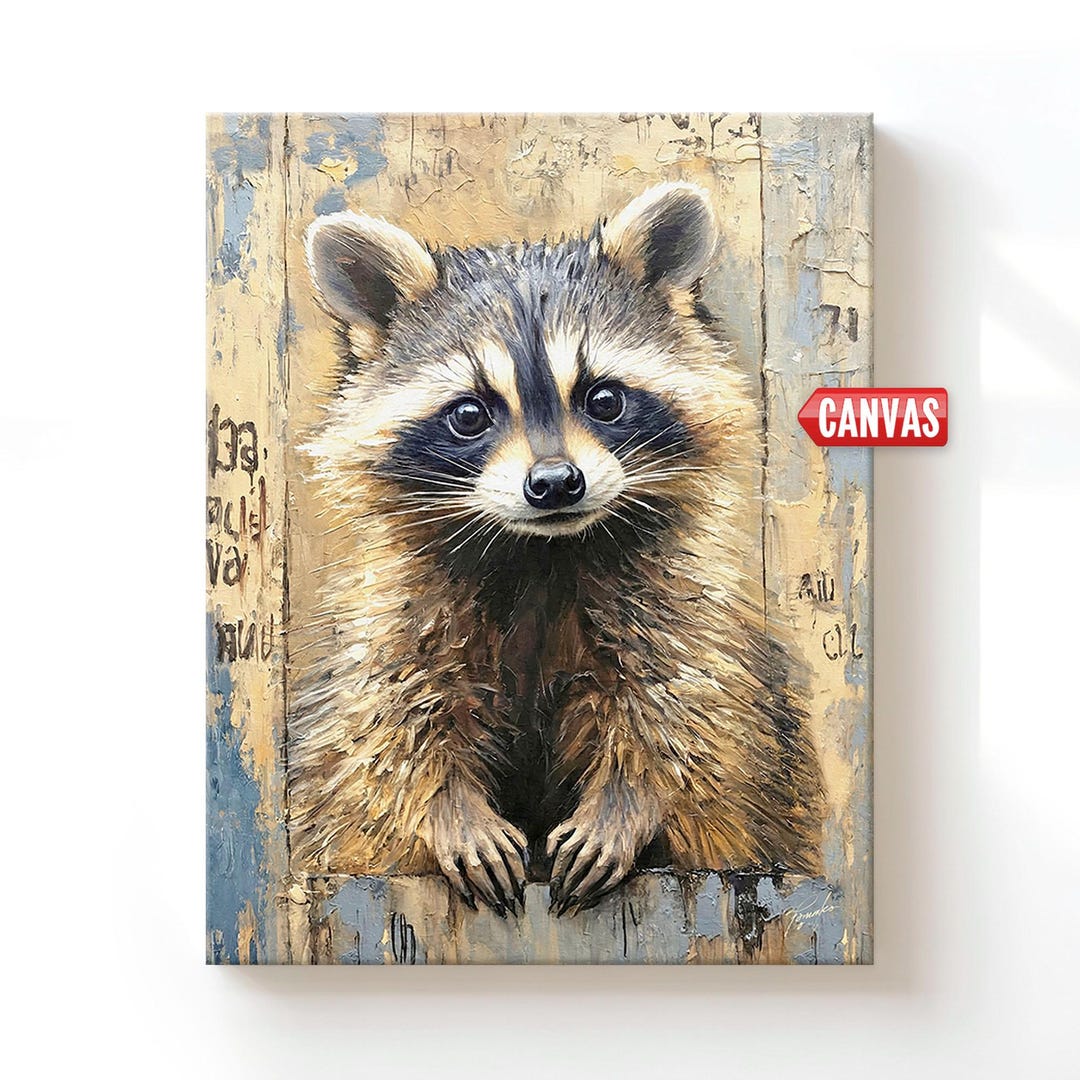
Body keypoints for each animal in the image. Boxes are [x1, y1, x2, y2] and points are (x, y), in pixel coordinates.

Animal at [289, 182, 824, 916]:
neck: (540, 555)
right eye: (469, 414)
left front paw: (625, 805)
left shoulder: (674, 610)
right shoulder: (402, 618)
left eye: (604, 399)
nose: (554, 484)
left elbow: (688, 720)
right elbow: (385, 738)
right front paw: (450, 813)